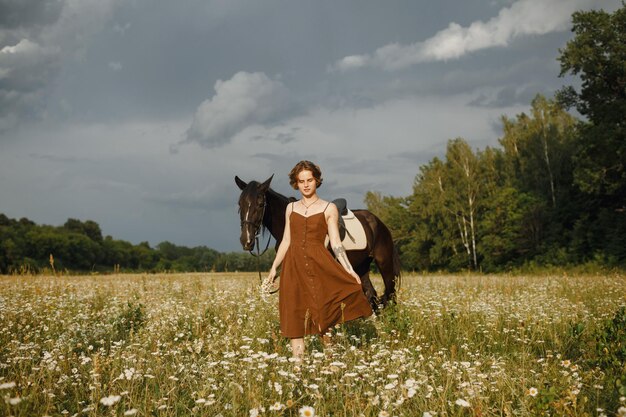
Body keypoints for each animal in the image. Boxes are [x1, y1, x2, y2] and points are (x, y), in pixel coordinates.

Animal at [234, 173, 400, 308]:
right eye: (240, 203)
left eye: (260, 204)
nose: (246, 240)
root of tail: (378, 222)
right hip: (361, 267)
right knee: (372, 296)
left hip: (384, 264)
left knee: (390, 296)